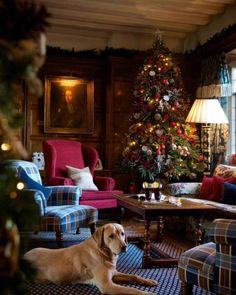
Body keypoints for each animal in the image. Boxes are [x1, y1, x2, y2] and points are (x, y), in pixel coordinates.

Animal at [24, 224, 158, 295]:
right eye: (111, 236)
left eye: (122, 233)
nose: (124, 246)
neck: (103, 253)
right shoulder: (107, 285)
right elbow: (132, 290)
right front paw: (148, 293)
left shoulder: (114, 273)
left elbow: (134, 276)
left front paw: (148, 281)